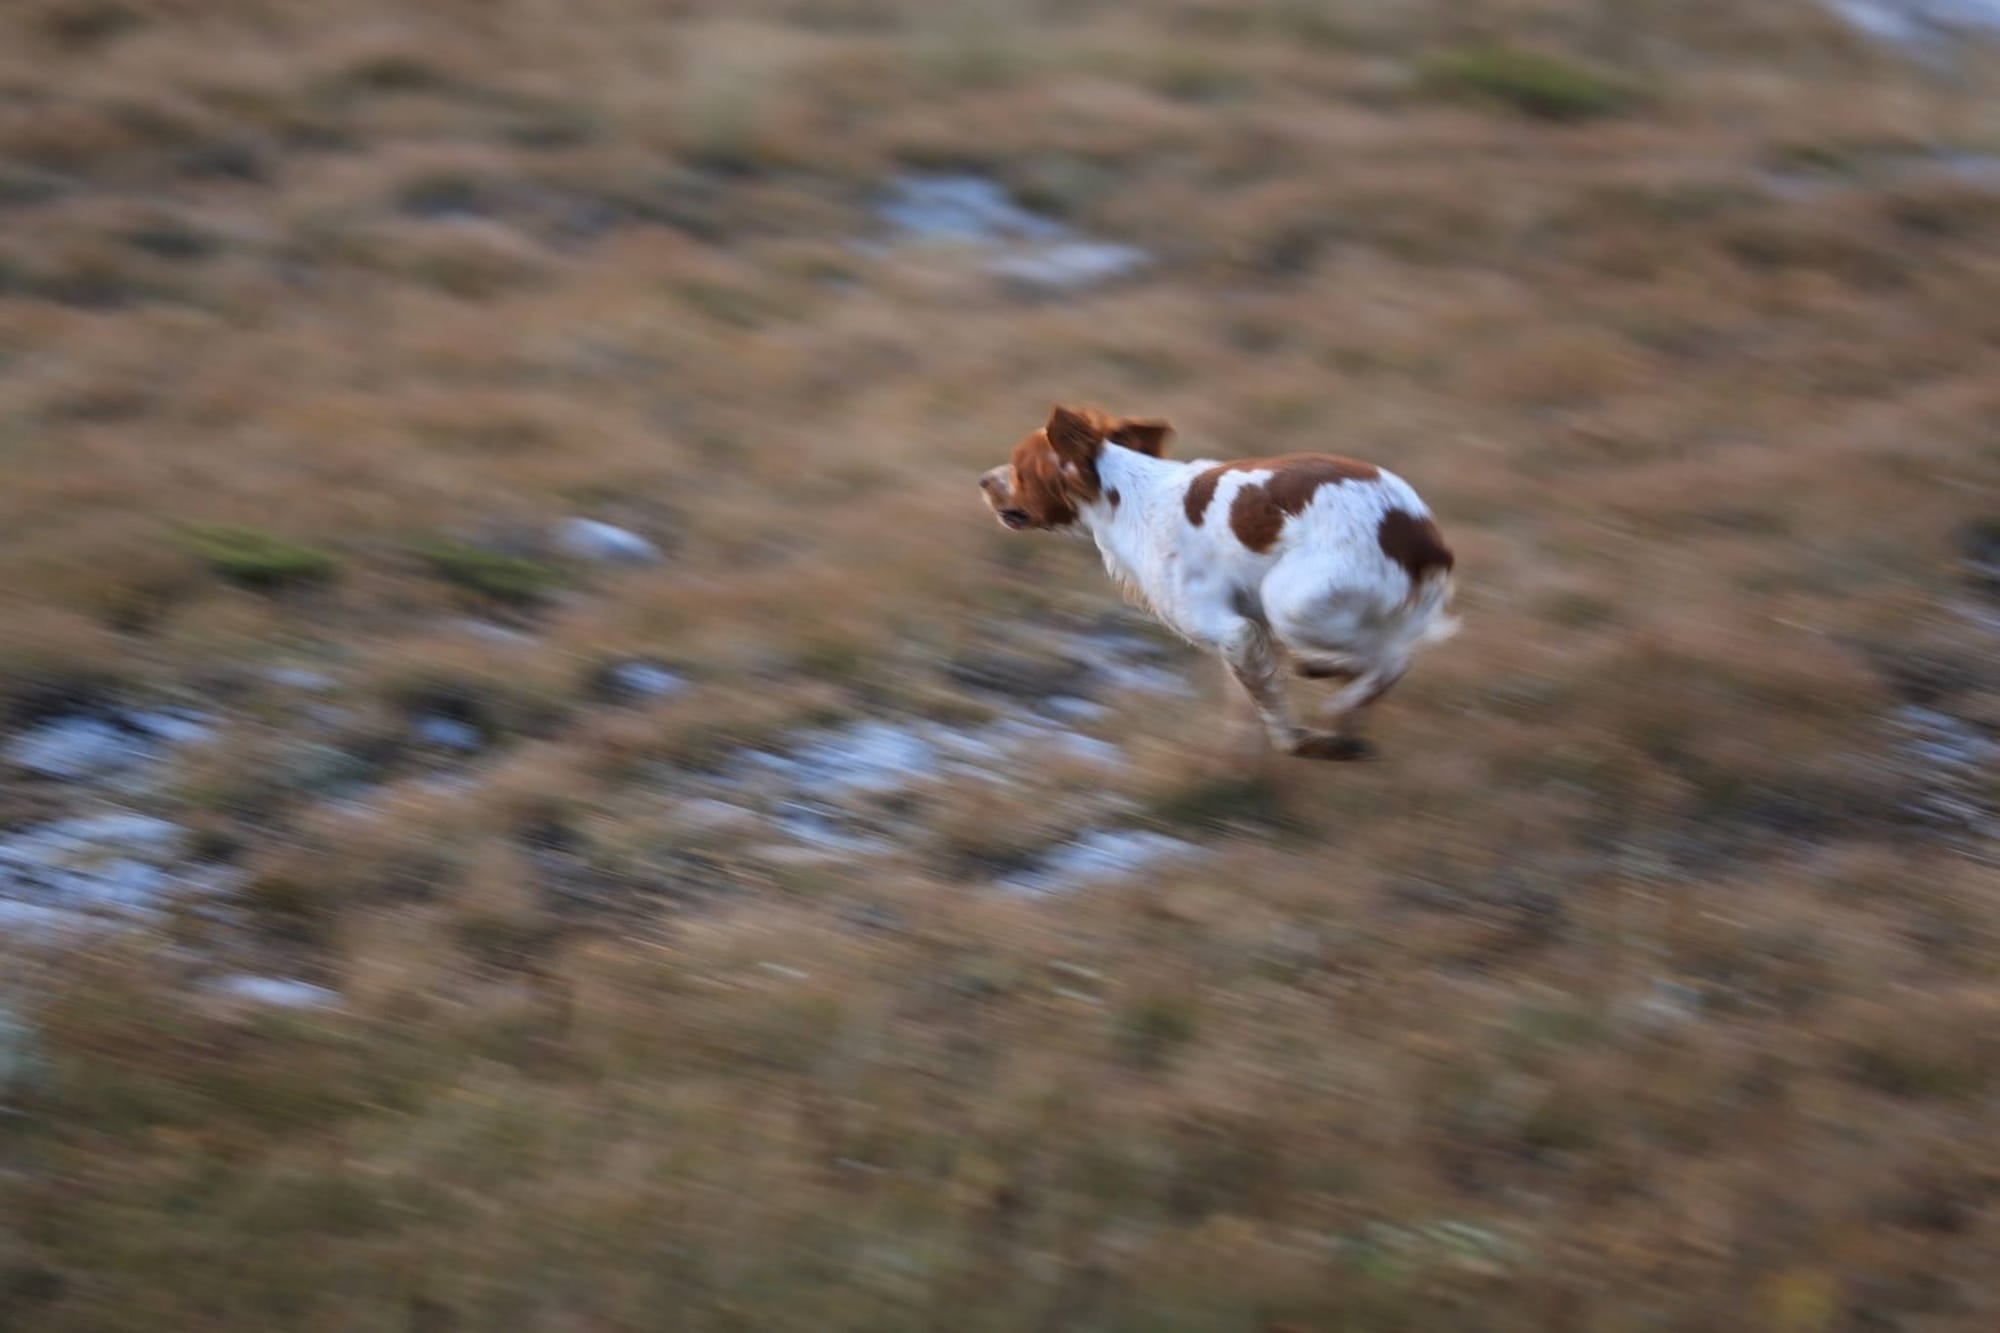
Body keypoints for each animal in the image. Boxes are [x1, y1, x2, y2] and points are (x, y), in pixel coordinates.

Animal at [980, 404, 1456, 756]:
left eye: (1020, 468)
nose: (984, 480)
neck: (1128, 496)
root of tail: (1418, 534)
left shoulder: (1232, 630)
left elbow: (1270, 707)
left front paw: (1300, 741)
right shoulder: (1251, 630)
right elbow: (1249, 701)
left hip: (1291, 603)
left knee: (1390, 659)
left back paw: (1340, 696)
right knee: (1379, 655)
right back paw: (1332, 678)